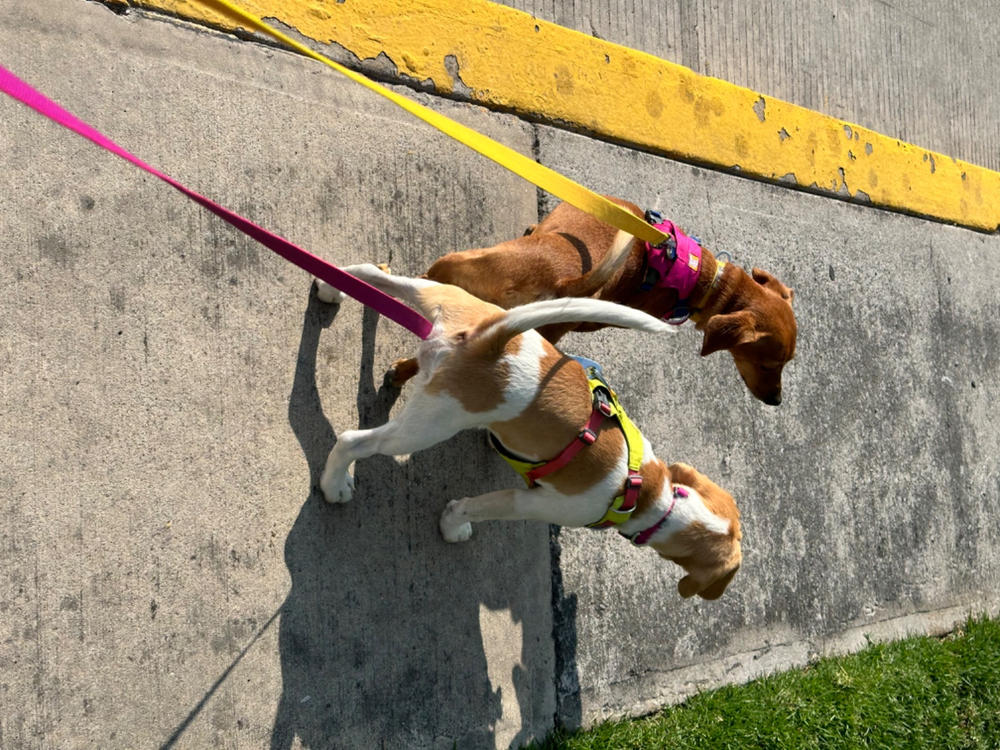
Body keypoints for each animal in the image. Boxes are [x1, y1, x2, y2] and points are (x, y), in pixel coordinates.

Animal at [316, 268, 740, 604]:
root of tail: (492, 341)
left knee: (375, 273)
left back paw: (330, 287)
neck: (656, 495)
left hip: (439, 295)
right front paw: (453, 527)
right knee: (354, 440)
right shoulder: (532, 504)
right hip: (427, 426)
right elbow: (472, 507)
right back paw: (335, 485)